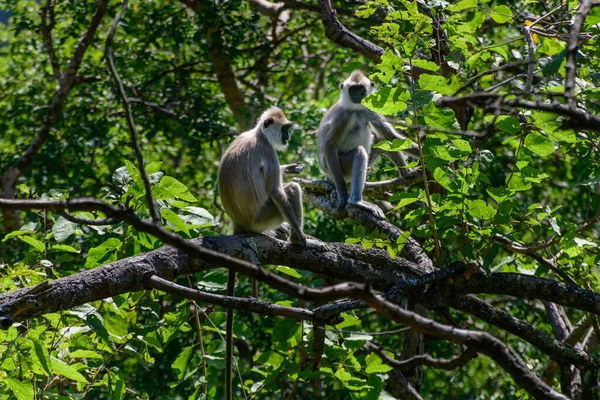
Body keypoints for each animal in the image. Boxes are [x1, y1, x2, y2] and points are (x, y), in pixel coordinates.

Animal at [217, 106, 310, 400]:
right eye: (285, 129)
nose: (288, 138)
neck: (258, 135)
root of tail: (238, 222)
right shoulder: (268, 153)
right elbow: (277, 191)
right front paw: (301, 237)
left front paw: (291, 167)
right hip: (262, 217)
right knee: (290, 190)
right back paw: (294, 238)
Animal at [316, 69, 414, 219]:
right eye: (353, 90)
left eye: (361, 90)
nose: (357, 95)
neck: (356, 110)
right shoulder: (344, 115)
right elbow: (329, 145)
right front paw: (342, 194)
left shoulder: (370, 109)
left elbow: (390, 137)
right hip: (341, 168)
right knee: (360, 152)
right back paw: (356, 201)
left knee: (382, 140)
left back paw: (406, 174)